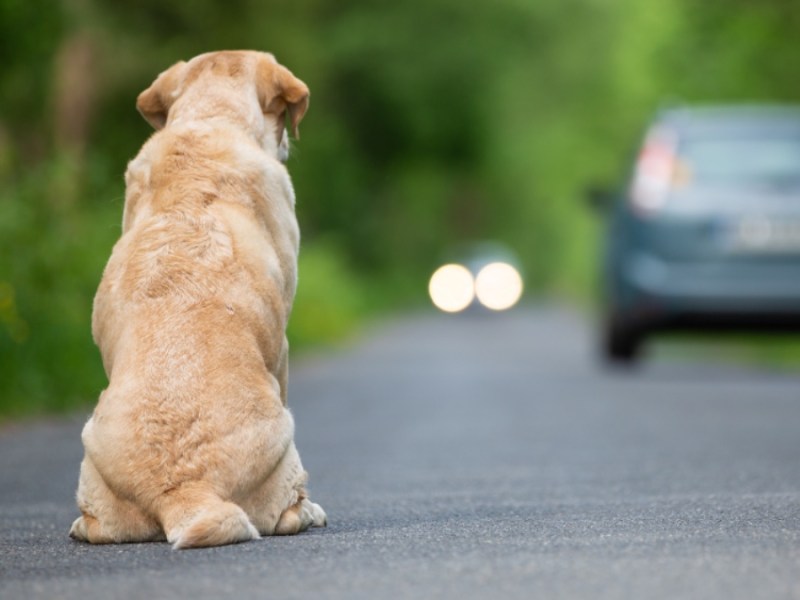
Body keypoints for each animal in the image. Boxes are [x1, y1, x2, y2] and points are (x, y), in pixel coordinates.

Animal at [70, 51, 326, 548]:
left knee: (97, 526)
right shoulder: (282, 346)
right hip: (285, 442)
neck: (210, 119)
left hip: (91, 453)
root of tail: (185, 489)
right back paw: (309, 512)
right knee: (286, 511)